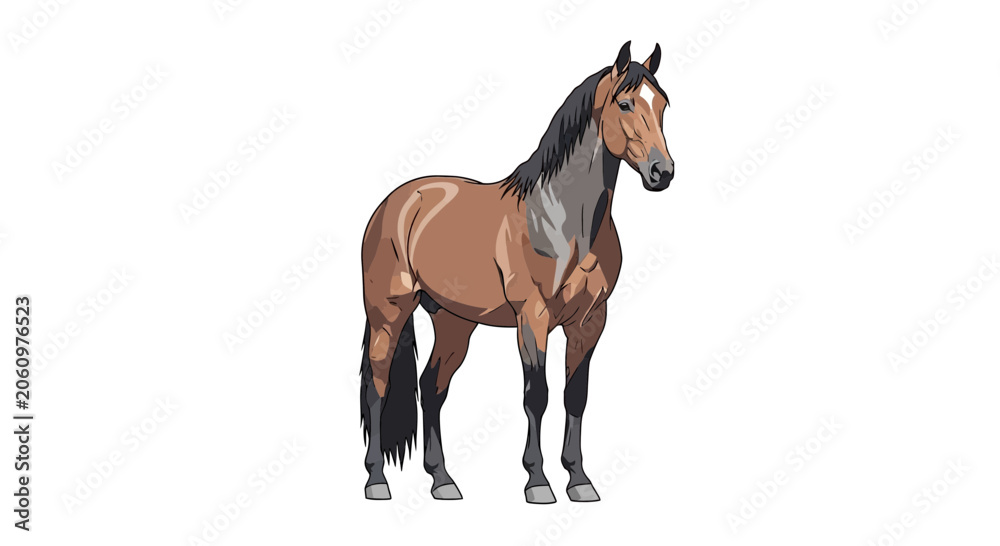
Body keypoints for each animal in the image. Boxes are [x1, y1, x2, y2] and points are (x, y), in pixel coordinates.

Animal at [359, 41, 673, 503]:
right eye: (625, 103)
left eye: (663, 104)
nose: (662, 172)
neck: (564, 216)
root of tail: (397, 202)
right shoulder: (533, 317)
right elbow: (536, 395)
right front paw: (538, 482)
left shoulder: (589, 321)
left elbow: (575, 396)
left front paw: (579, 480)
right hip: (388, 315)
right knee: (378, 387)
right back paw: (376, 481)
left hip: (454, 323)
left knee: (431, 388)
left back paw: (443, 481)